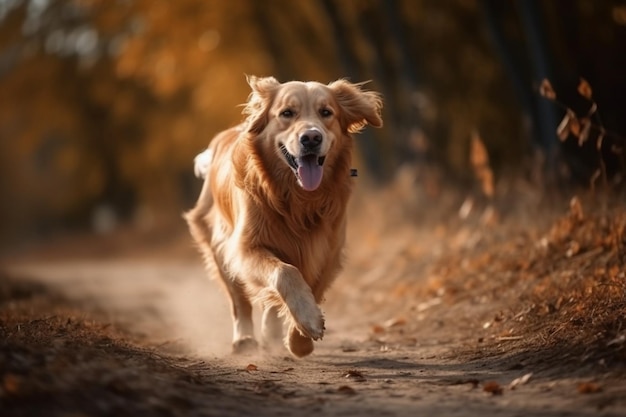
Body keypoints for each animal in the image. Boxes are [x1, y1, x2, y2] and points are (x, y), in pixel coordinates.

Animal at [185, 76, 380, 356]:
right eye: (287, 113)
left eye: (326, 112)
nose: (311, 138)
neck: (298, 199)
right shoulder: (246, 247)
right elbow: (285, 273)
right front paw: (308, 321)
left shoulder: (327, 251)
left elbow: (312, 287)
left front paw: (300, 340)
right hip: (219, 247)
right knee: (240, 301)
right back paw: (244, 338)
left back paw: (272, 332)